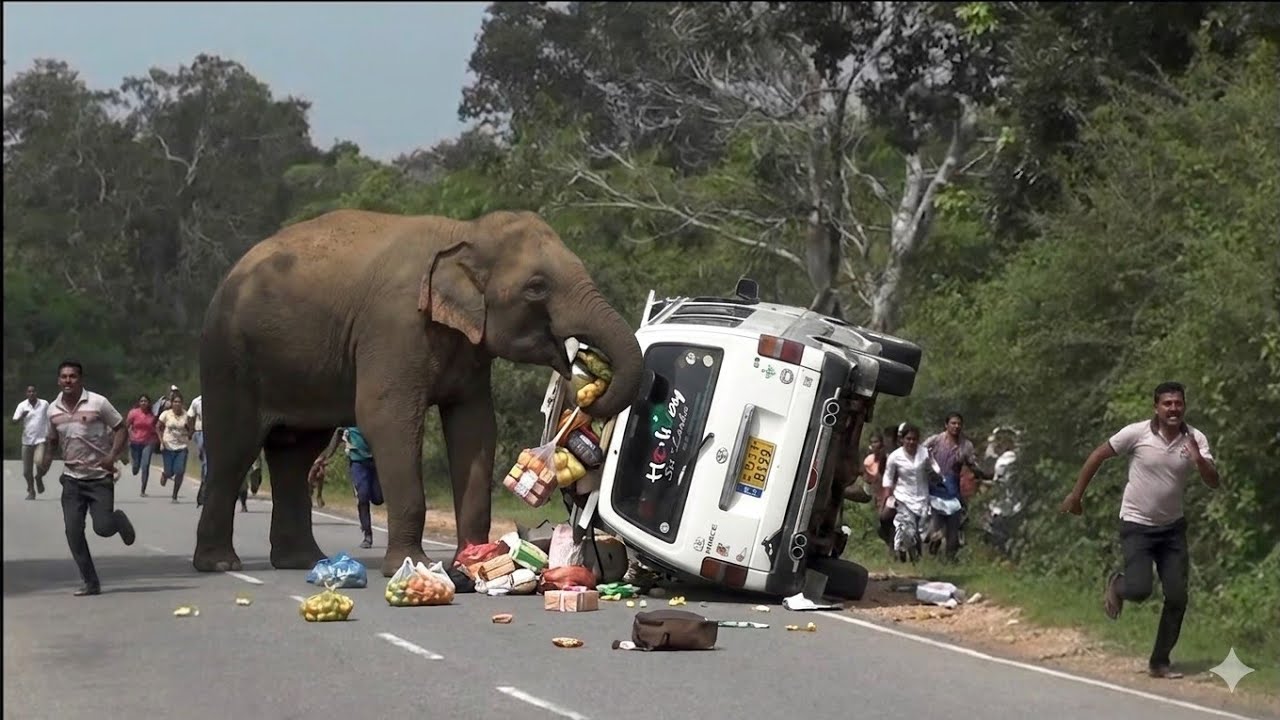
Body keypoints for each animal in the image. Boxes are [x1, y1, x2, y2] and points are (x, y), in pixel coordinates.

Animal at [192, 209, 644, 577]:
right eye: (536, 287)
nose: (585, 381)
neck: (465, 231)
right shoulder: (395, 326)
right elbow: (384, 418)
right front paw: (412, 566)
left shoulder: (469, 348)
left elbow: (475, 428)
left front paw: (472, 561)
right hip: (227, 356)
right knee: (234, 448)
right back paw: (220, 564)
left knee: (295, 452)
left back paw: (303, 561)